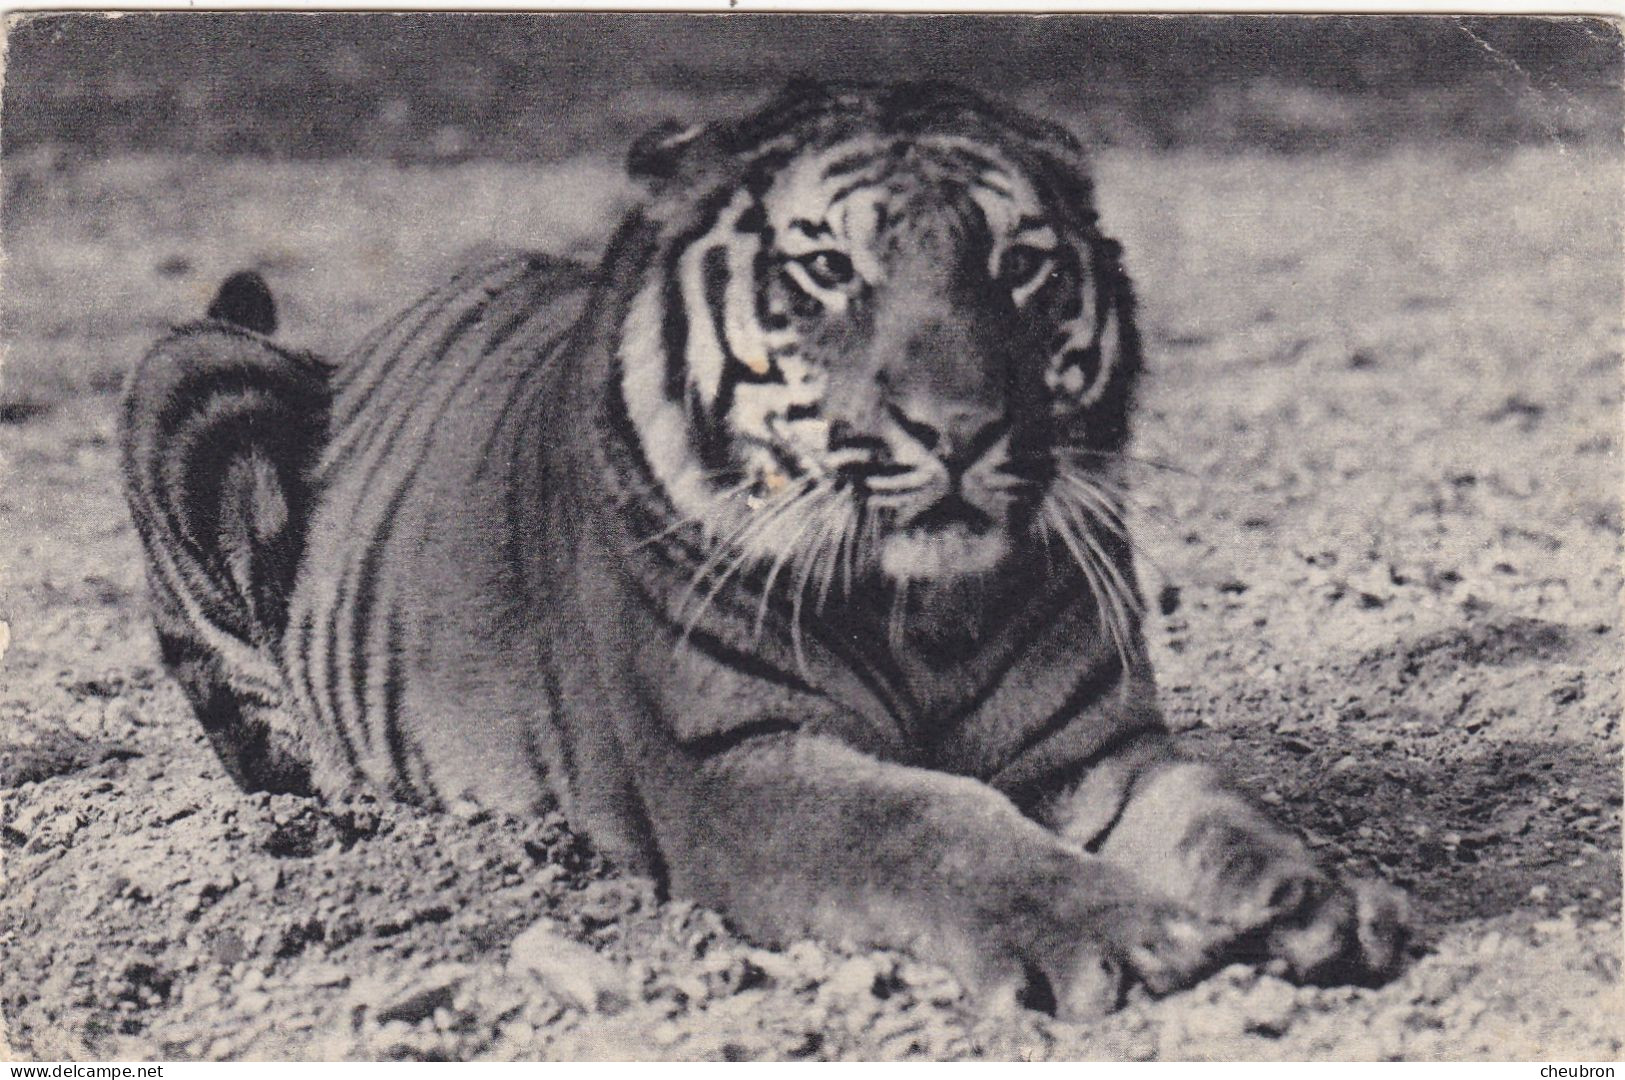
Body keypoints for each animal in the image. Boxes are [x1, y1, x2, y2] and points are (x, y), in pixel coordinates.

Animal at [117, 79, 1410, 1013]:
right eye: (829, 269)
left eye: (1018, 265)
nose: (959, 429)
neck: (927, 609)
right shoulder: (733, 766)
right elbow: (933, 828)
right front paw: (1122, 936)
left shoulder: (1093, 749)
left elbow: (1218, 812)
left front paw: (1321, 901)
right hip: (184, 375)